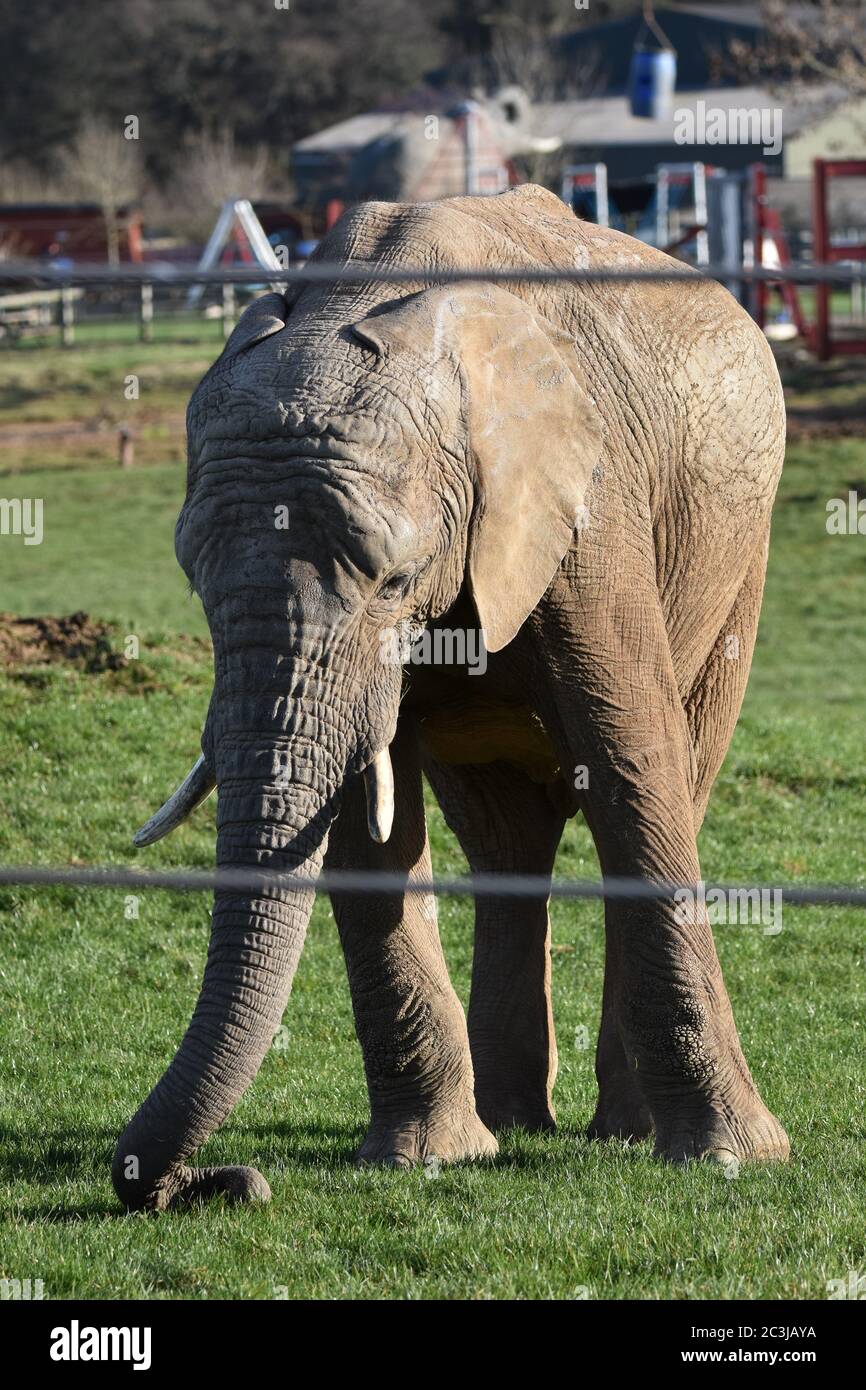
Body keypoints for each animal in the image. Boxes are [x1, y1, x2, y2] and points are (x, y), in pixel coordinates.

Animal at [112, 183, 789, 1211]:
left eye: (393, 580)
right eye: (192, 578)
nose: (221, 1181)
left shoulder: (588, 507)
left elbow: (630, 756)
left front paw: (732, 1159)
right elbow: (365, 809)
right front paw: (425, 1159)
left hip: (740, 552)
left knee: (680, 765)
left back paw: (620, 1132)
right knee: (506, 836)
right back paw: (510, 1124)